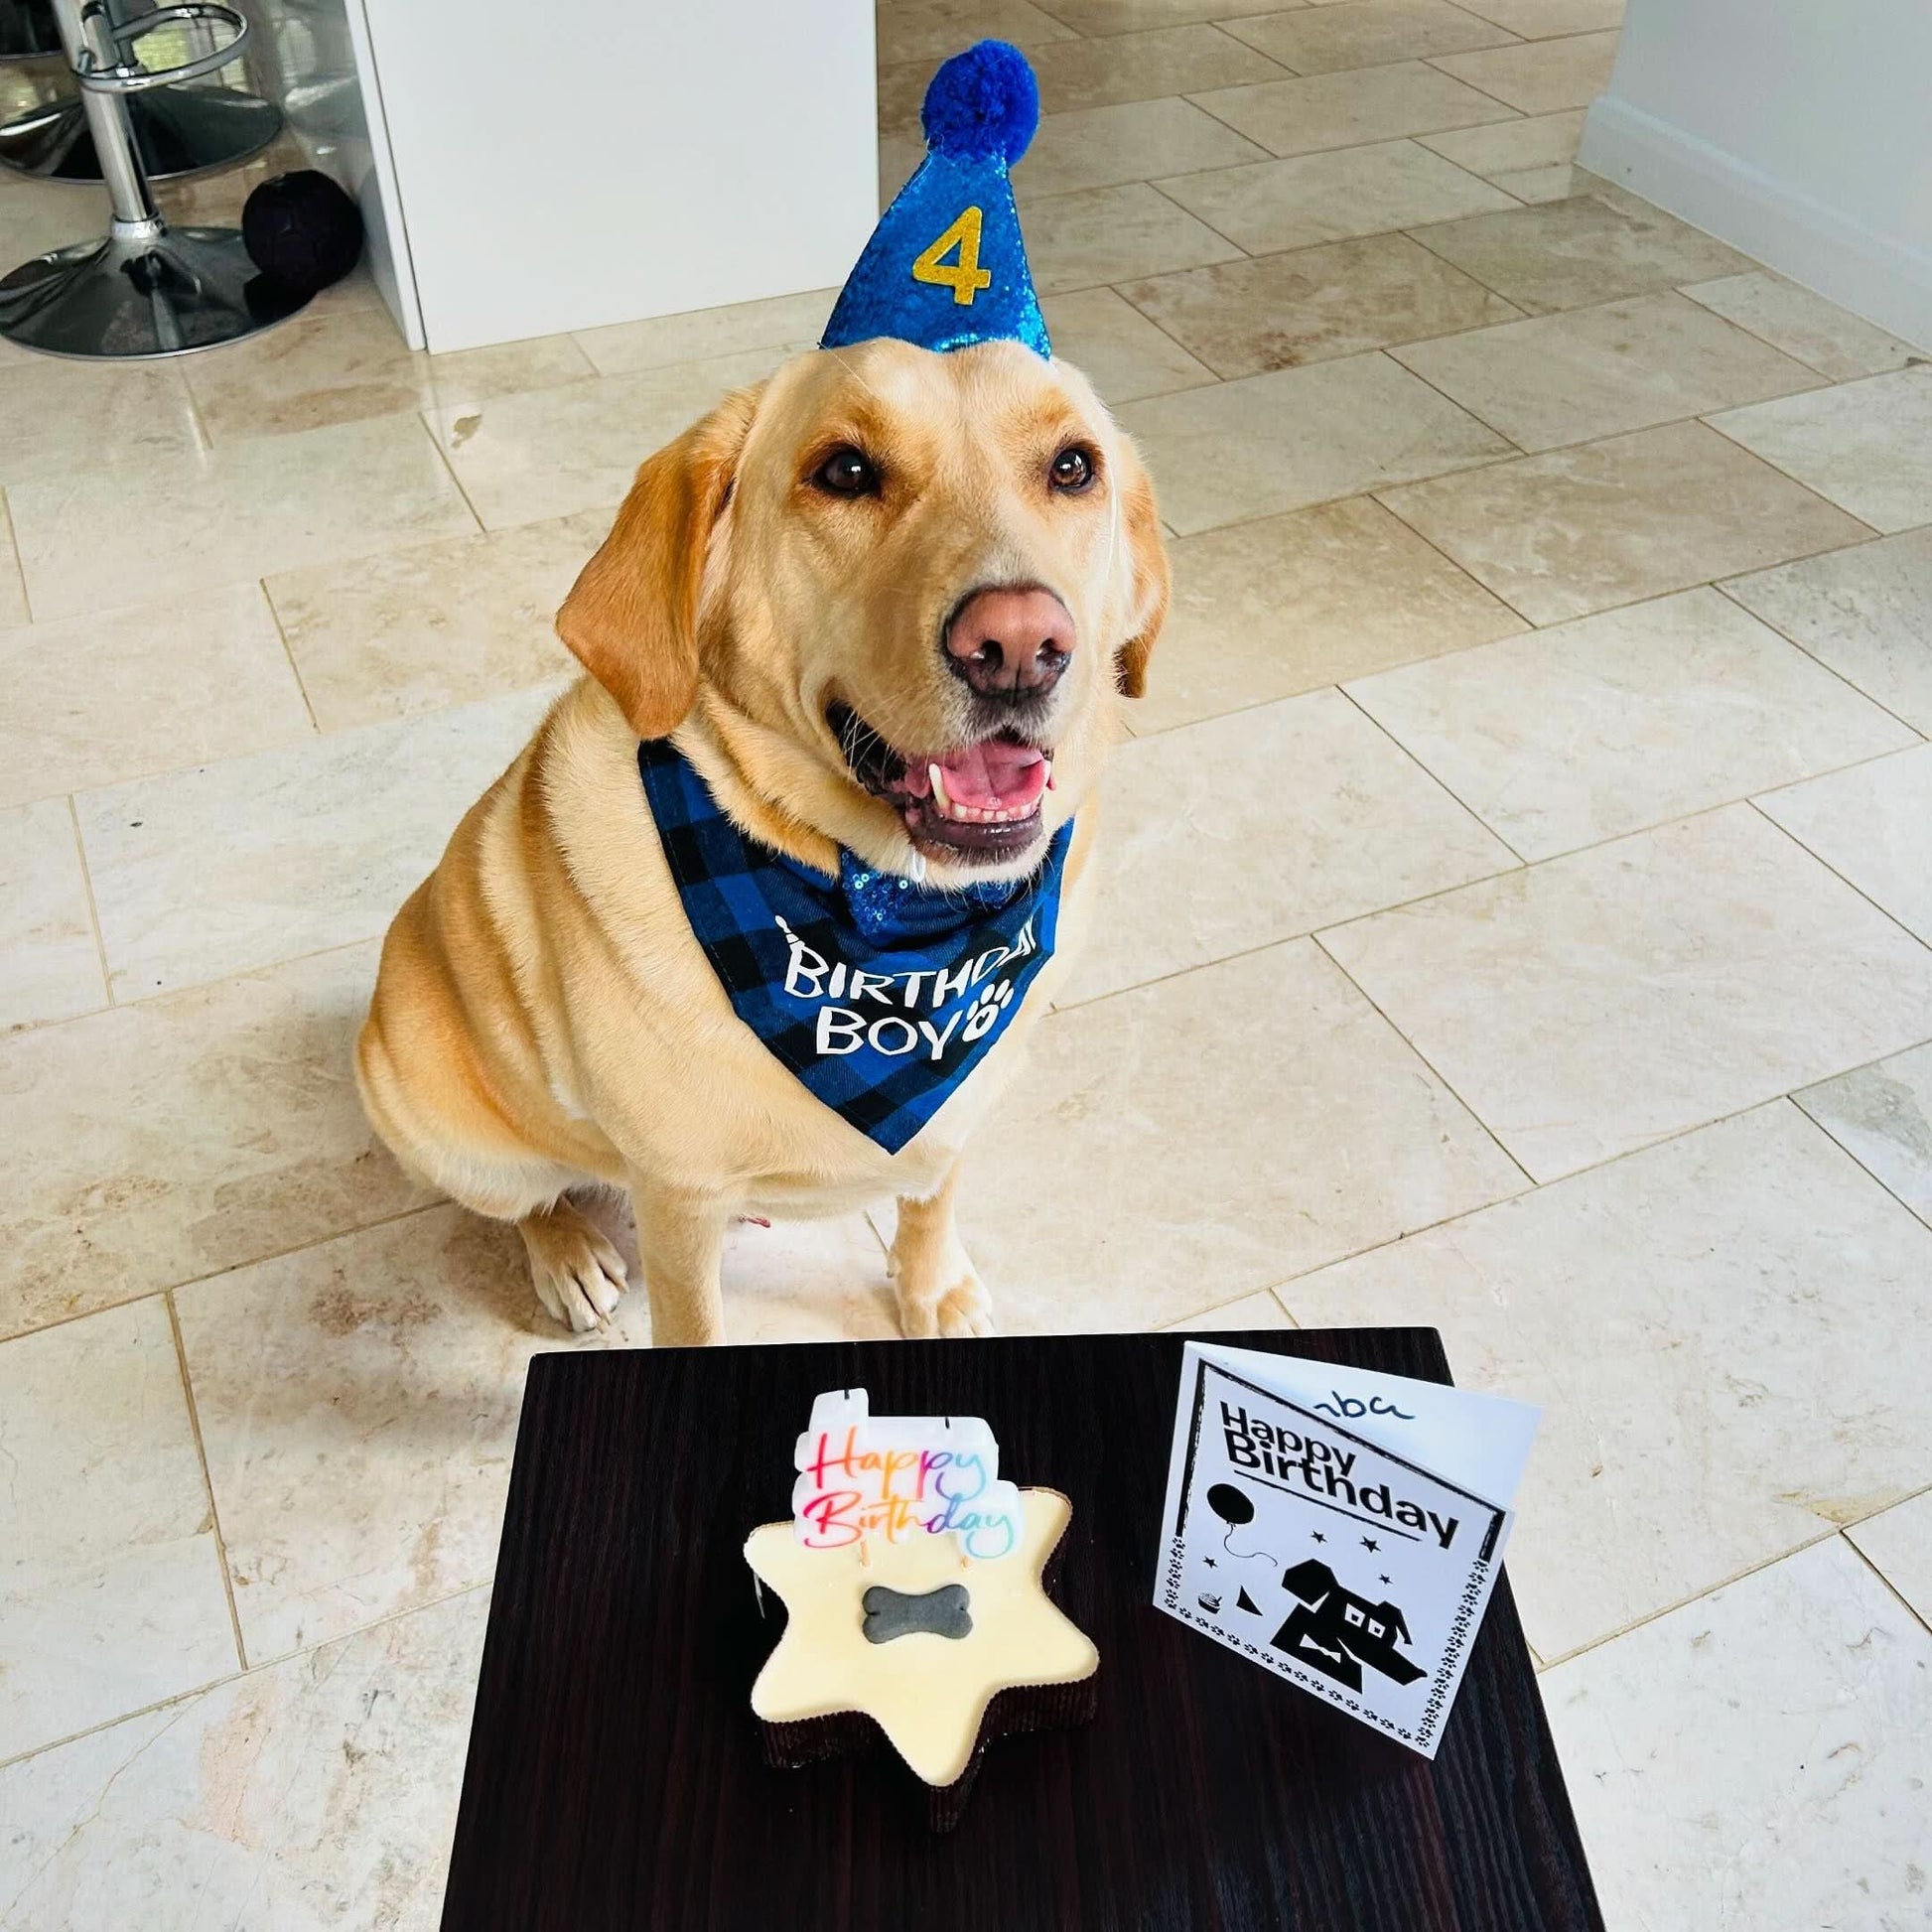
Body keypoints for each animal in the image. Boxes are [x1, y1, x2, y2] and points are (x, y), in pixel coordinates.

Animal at [355, 336, 1167, 1344]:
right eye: (845, 471)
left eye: (1072, 467)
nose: (1019, 645)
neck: (886, 922)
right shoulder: (680, 1197)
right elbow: (692, 1323)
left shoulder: (958, 1109)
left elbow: (931, 1195)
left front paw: (931, 1288)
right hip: (440, 1121)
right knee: (525, 1200)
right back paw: (567, 1253)